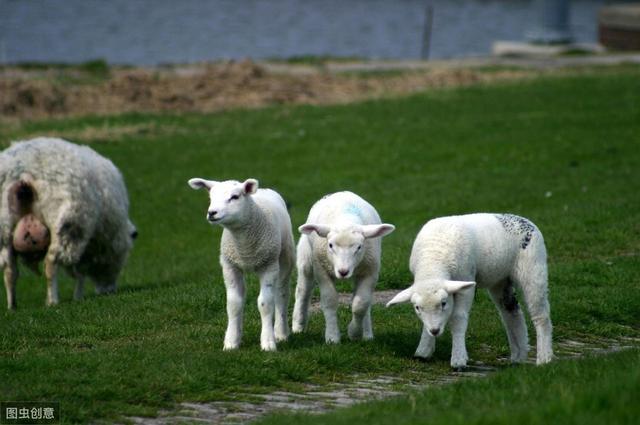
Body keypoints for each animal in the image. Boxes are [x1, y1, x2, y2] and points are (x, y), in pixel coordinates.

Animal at [0, 138, 136, 308]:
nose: (109, 290)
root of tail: (24, 174)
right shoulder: (84, 240)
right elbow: (81, 272)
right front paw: (78, 297)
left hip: (4, 229)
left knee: (9, 270)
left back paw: (12, 306)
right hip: (67, 224)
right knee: (50, 263)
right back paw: (52, 301)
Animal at [186, 176, 294, 352]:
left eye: (235, 197)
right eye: (211, 198)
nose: (212, 213)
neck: (244, 247)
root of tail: (262, 189)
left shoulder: (268, 266)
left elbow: (265, 303)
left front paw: (268, 342)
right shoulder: (230, 266)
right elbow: (234, 304)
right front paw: (231, 341)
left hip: (285, 257)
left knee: (281, 293)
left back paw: (281, 332)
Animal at [294, 192, 396, 344]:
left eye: (359, 247)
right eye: (330, 245)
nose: (343, 272)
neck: (346, 219)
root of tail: (342, 193)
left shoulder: (371, 271)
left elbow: (361, 304)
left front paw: (354, 332)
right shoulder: (321, 270)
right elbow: (329, 300)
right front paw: (332, 337)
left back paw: (367, 334)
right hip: (306, 258)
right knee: (303, 290)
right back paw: (298, 326)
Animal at [384, 214, 556, 366]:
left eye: (444, 303)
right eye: (417, 308)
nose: (434, 330)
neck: (433, 262)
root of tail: (526, 221)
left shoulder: (465, 278)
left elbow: (458, 318)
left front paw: (458, 359)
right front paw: (423, 351)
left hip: (534, 268)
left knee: (541, 316)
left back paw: (544, 358)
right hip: (500, 280)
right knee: (511, 313)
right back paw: (518, 356)